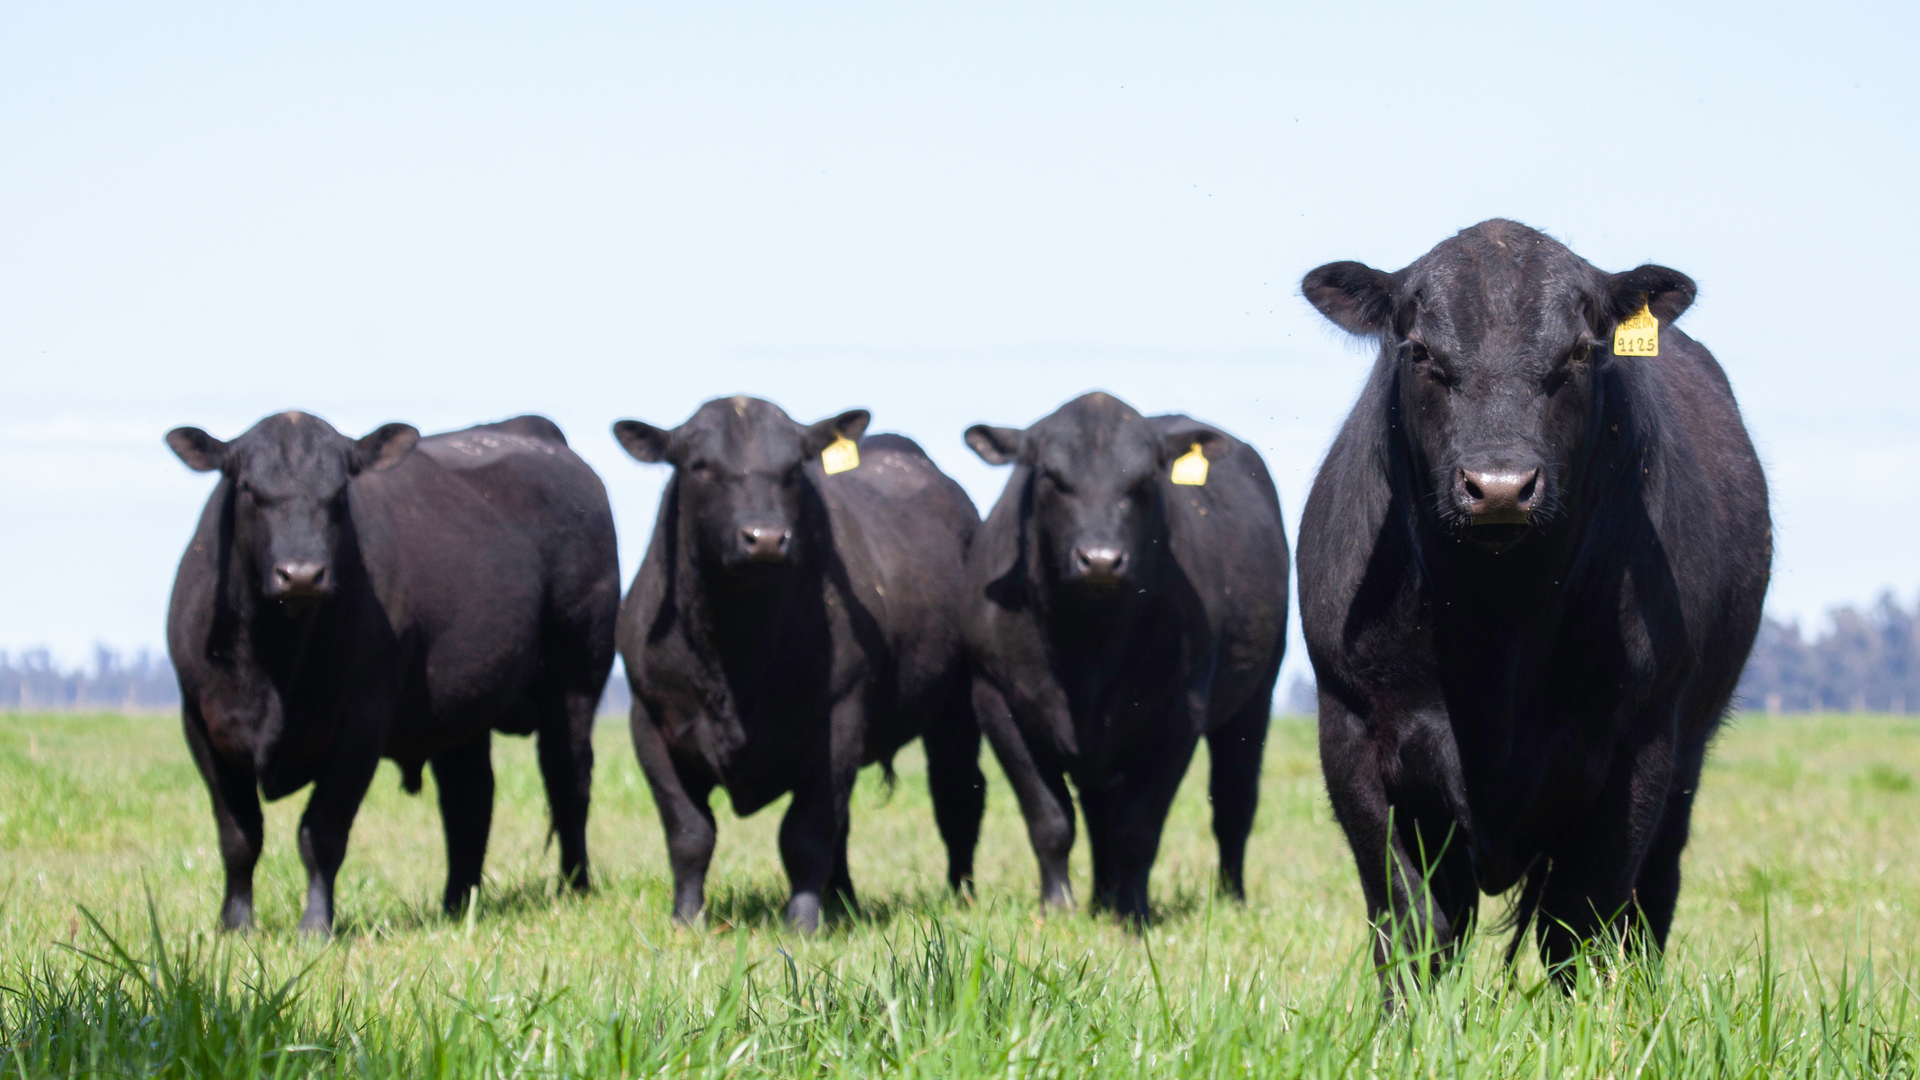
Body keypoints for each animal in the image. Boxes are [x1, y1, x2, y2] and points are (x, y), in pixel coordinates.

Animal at [166, 412, 619, 935]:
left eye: (340, 491)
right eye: (247, 488)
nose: (301, 574)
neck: (272, 663)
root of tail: (533, 430)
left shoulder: (362, 723)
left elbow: (321, 832)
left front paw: (315, 927)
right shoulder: (201, 722)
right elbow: (239, 835)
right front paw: (234, 926)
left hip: (576, 678)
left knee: (568, 780)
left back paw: (574, 887)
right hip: (463, 706)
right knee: (470, 799)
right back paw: (456, 902)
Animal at [613, 396, 985, 933]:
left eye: (792, 468)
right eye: (700, 465)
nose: (764, 537)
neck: (737, 650)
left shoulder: (839, 720)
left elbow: (805, 833)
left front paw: (803, 924)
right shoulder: (649, 721)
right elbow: (689, 831)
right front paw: (686, 918)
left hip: (957, 707)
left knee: (958, 794)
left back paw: (960, 895)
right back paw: (843, 898)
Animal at [962, 392, 1289, 924]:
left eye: (1144, 480)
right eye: (1051, 475)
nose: (1100, 560)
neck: (1086, 642)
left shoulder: (1181, 711)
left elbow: (1137, 825)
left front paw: (1134, 914)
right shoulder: (995, 701)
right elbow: (1050, 818)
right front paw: (1058, 907)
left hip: (1256, 694)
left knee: (1235, 803)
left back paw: (1231, 897)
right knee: (1097, 810)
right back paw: (1100, 895)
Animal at [1296, 219, 1770, 983]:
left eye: (1579, 352)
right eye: (1420, 350)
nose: (1498, 486)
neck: (1497, 618)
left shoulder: (1638, 748)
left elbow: (1579, 924)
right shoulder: (1353, 733)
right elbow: (1411, 921)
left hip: (1687, 761)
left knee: (1651, 899)